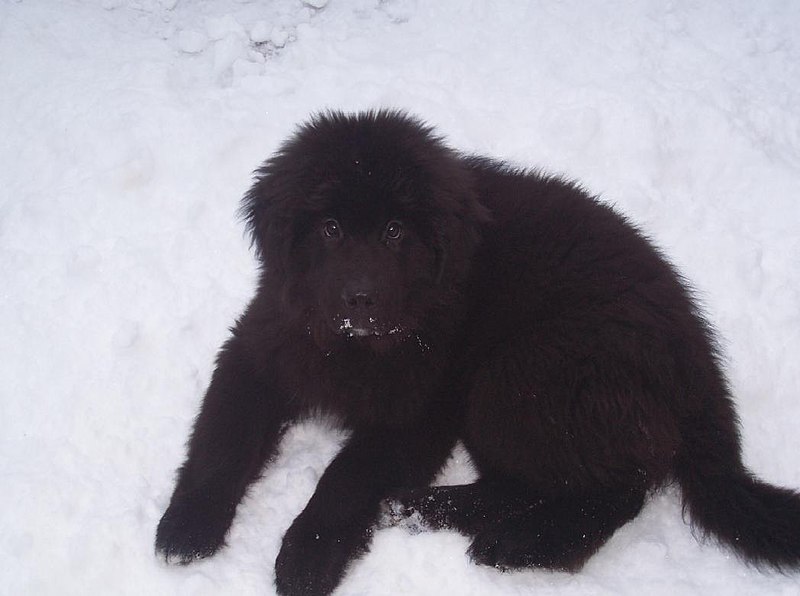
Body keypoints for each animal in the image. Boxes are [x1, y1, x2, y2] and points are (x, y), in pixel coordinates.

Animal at [155, 109, 800, 592]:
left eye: (395, 231)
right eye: (330, 229)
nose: (360, 300)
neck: (357, 346)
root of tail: (697, 354)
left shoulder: (417, 414)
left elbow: (344, 478)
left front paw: (306, 555)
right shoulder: (261, 347)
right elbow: (222, 438)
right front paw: (187, 527)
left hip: (523, 374)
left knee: (613, 490)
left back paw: (509, 539)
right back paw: (425, 508)